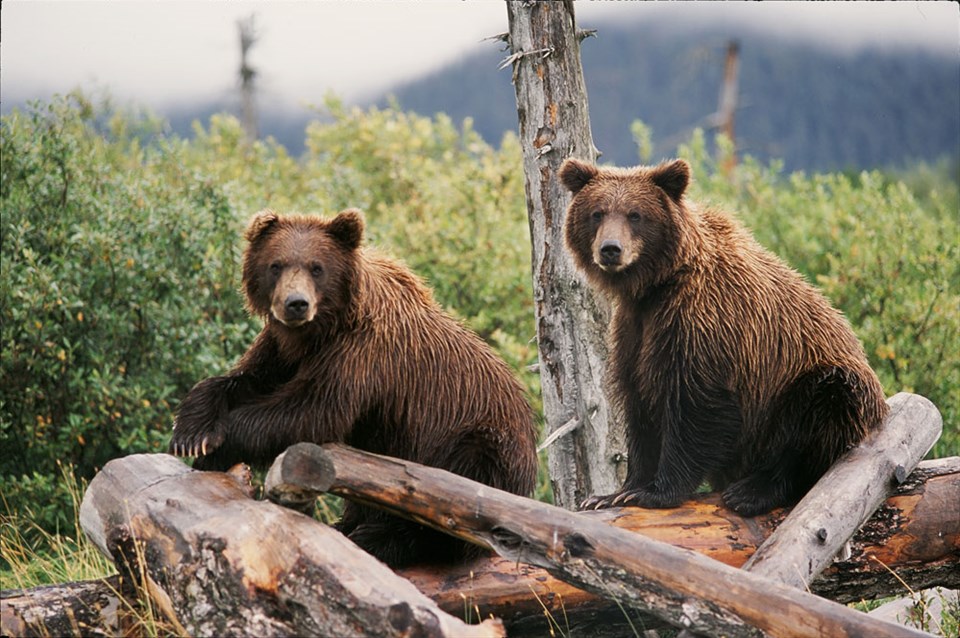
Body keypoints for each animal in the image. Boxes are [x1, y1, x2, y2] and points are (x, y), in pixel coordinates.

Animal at [171, 209, 540, 564]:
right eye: (276, 265)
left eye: (316, 267)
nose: (296, 304)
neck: (321, 330)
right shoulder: (282, 350)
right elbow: (245, 380)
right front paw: (192, 433)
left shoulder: (361, 354)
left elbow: (310, 411)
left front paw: (216, 447)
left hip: (480, 440)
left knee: (464, 493)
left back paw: (381, 538)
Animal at [560, 160, 888, 520]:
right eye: (597, 213)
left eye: (635, 214)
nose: (610, 249)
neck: (656, 285)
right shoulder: (636, 331)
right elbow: (641, 404)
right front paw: (614, 493)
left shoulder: (703, 323)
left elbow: (695, 405)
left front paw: (656, 491)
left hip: (811, 388)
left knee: (823, 406)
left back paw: (753, 490)